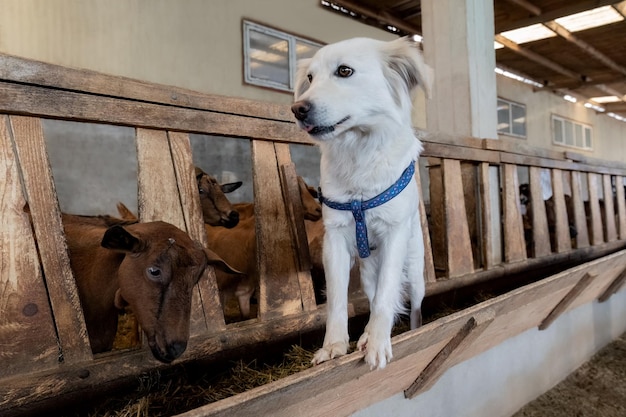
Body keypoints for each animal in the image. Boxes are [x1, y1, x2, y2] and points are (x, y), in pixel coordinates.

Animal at [290, 37, 432, 368]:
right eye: (310, 78)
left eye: (344, 71)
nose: (297, 109)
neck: (359, 151)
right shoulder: (335, 240)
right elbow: (338, 302)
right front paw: (334, 346)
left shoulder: (394, 235)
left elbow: (386, 297)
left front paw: (379, 342)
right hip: (368, 272)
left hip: (415, 270)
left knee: (412, 305)